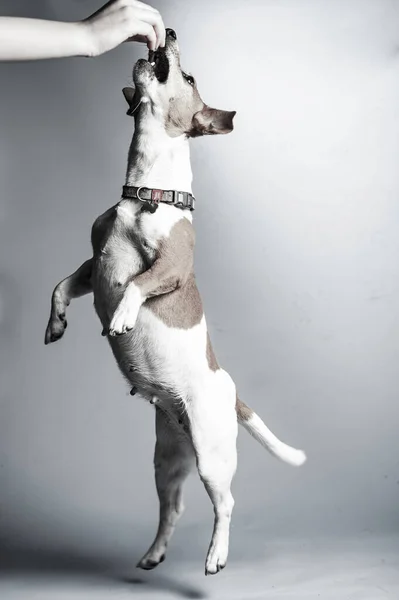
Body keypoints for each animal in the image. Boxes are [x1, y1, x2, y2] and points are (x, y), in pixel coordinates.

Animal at [44, 29, 306, 576]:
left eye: (187, 76)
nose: (169, 33)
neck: (145, 190)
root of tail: (230, 391)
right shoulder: (92, 267)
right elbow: (61, 286)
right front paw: (55, 324)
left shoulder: (172, 269)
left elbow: (138, 285)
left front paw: (122, 318)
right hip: (167, 461)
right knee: (174, 506)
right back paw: (154, 553)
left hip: (211, 453)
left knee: (225, 503)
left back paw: (216, 555)